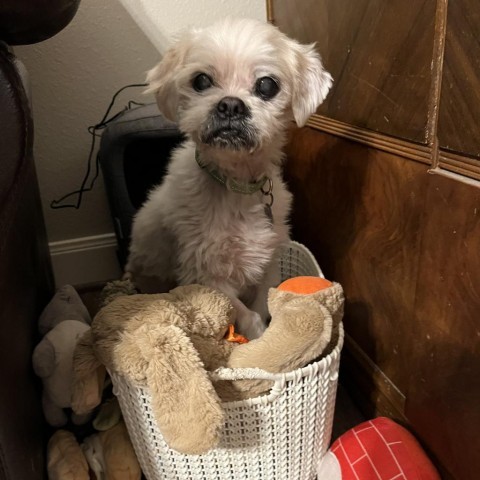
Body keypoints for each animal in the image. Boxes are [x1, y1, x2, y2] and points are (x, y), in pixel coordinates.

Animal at [125, 17, 332, 338]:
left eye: (267, 85)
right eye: (201, 81)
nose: (231, 105)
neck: (237, 186)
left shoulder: (267, 265)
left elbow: (264, 304)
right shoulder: (206, 275)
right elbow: (248, 314)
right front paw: (258, 339)